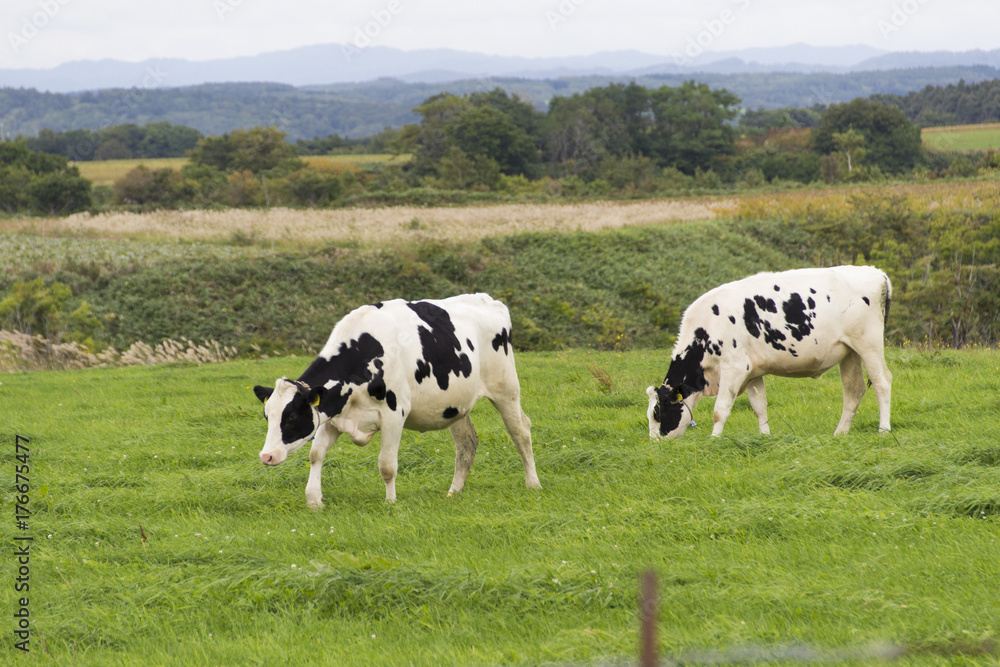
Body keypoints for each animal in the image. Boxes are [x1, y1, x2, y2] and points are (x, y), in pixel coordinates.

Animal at [254, 294, 544, 508]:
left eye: (291, 416)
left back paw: (533, 483)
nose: (266, 456)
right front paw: (314, 500)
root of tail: (489, 299)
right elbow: (316, 454)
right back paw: (454, 492)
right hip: (455, 405)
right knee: (467, 443)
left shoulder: (394, 415)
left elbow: (387, 465)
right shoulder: (333, 415)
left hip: (506, 389)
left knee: (521, 431)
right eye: (268, 416)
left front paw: (391, 502)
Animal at [644, 264, 896, 440]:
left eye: (657, 413)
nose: (655, 443)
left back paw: (883, 430)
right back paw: (840, 433)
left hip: (868, 343)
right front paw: (765, 437)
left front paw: (714, 440)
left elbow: (720, 409)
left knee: (882, 382)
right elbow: (759, 407)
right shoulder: (753, 372)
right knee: (854, 390)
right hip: (849, 352)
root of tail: (876, 273)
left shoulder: (734, 367)